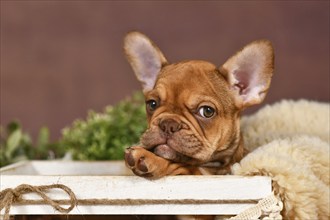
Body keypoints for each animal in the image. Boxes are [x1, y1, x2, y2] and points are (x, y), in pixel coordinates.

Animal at [124, 31, 274, 179]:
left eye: (207, 111)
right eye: (152, 104)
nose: (168, 124)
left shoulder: (200, 173)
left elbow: (180, 165)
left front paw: (148, 158)